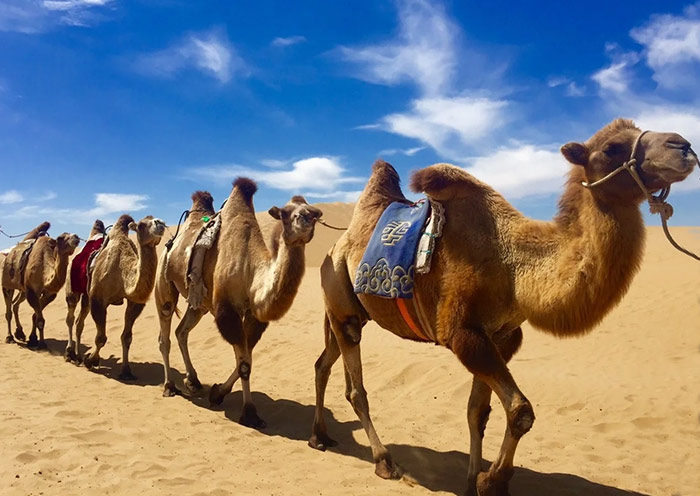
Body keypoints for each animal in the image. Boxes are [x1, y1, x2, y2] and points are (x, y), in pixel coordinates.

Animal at [64, 219, 107, 363]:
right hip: (72, 291)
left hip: (86, 295)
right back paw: (70, 352)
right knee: (70, 318)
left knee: (79, 322)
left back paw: (77, 355)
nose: (75, 238)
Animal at [83, 214, 165, 380]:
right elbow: (101, 338)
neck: (123, 273)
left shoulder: (134, 302)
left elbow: (126, 337)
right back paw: (71, 355)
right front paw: (90, 360)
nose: (160, 222)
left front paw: (126, 370)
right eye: (141, 225)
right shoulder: (97, 299)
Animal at [155, 179, 322, 428]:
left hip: (199, 303)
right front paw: (250, 413)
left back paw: (193, 381)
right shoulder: (227, 311)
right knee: (164, 334)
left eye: (313, 212)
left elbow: (246, 358)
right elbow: (244, 364)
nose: (304, 218)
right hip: (165, 282)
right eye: (284, 213)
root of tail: (171, 242)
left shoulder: (253, 315)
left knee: (181, 331)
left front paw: (217, 393)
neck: (251, 270)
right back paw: (169, 386)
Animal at [308, 119, 697, 496]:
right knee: (356, 390)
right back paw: (384, 461)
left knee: (324, 363)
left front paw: (472, 481)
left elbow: (478, 411)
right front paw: (492, 481)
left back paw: (320, 437)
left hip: (345, 311)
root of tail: (336, 246)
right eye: (612, 148)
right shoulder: (463, 333)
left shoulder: (502, 336)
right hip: (343, 304)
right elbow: (520, 411)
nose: (683, 146)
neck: (514, 266)